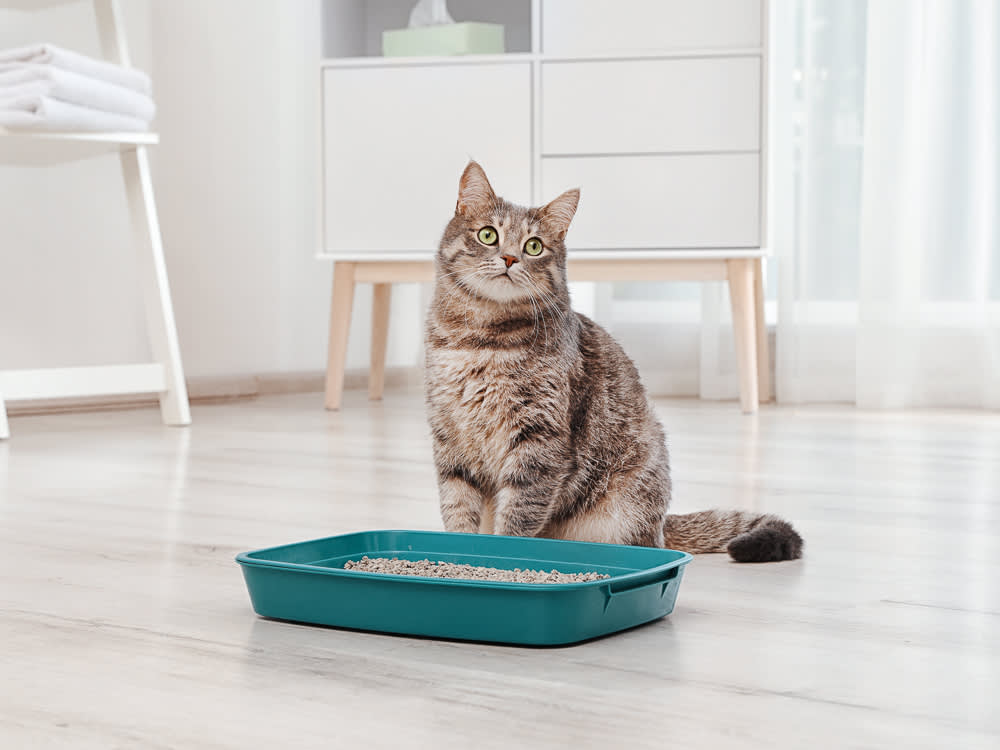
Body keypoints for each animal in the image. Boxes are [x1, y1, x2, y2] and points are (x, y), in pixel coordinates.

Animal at [424, 164, 804, 564]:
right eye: (488, 235)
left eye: (533, 246)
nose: (510, 258)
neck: (479, 340)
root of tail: (662, 523)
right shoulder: (450, 440)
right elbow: (458, 509)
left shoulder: (540, 441)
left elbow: (518, 516)